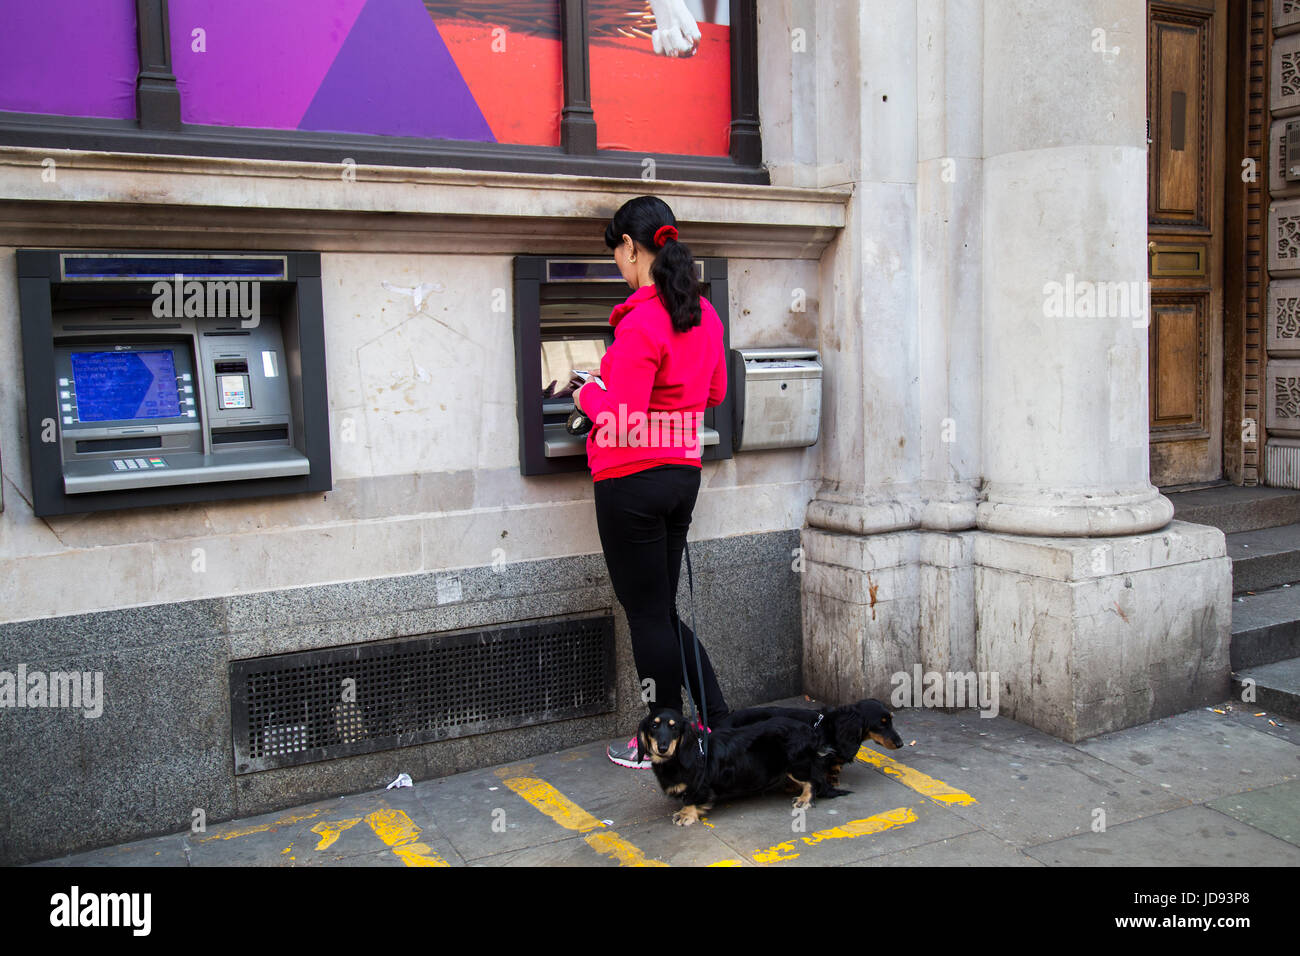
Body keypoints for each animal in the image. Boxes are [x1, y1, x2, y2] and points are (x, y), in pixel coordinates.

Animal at [637, 707, 842, 827]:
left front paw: (685, 814)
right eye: (653, 726)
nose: (662, 748)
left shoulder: (699, 786)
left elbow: (691, 799)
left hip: (796, 764)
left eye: (674, 727)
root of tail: (810, 731)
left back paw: (804, 799)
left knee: (812, 781)